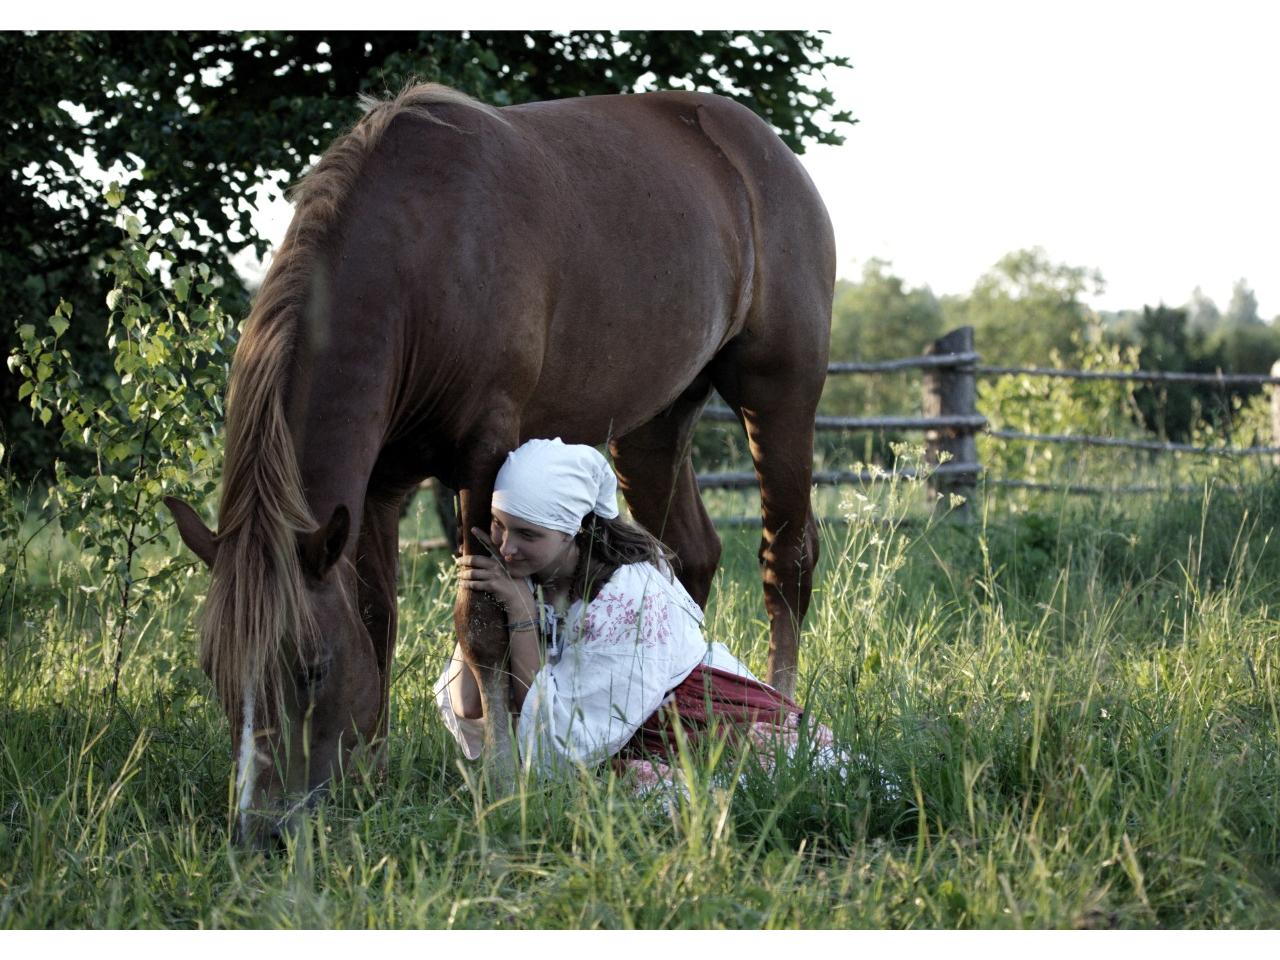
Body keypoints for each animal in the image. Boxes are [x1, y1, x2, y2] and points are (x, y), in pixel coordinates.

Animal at [165, 84, 834, 849]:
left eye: (311, 668)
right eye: (214, 672)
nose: (260, 830)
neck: (420, 257)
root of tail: (761, 145)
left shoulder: (485, 454)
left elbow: (480, 624)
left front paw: (504, 777)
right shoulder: (377, 491)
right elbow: (376, 617)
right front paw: (373, 776)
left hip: (778, 393)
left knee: (786, 559)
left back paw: (783, 712)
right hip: (654, 424)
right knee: (689, 552)